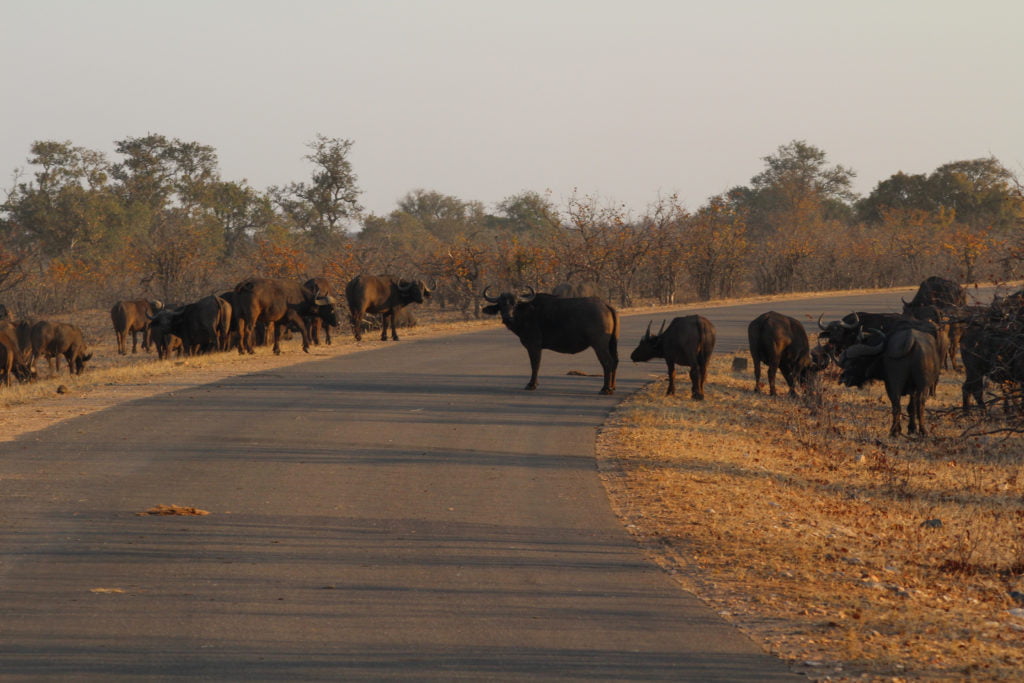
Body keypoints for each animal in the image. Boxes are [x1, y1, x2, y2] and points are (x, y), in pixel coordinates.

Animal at [482, 286, 619, 394]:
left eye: (515, 304)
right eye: (501, 305)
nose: (507, 317)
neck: (527, 312)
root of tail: (605, 305)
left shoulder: (534, 346)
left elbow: (535, 364)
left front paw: (531, 385)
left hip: (599, 345)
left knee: (607, 362)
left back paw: (605, 389)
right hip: (612, 344)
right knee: (615, 361)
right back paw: (612, 387)